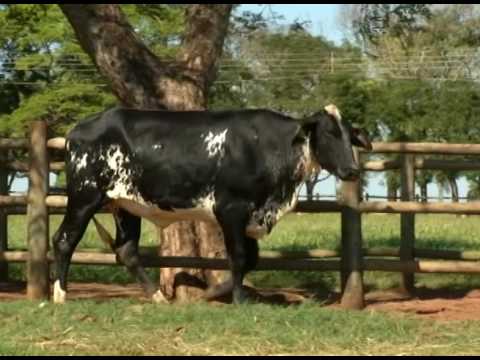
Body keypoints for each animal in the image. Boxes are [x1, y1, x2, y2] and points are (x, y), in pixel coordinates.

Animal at [53, 104, 376, 304]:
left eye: (350, 136)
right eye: (329, 133)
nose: (352, 170)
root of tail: (79, 129)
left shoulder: (250, 216)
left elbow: (252, 259)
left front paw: (214, 294)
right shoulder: (231, 210)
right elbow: (239, 257)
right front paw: (239, 299)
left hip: (125, 204)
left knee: (127, 250)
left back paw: (157, 297)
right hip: (85, 197)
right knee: (64, 240)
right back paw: (60, 295)